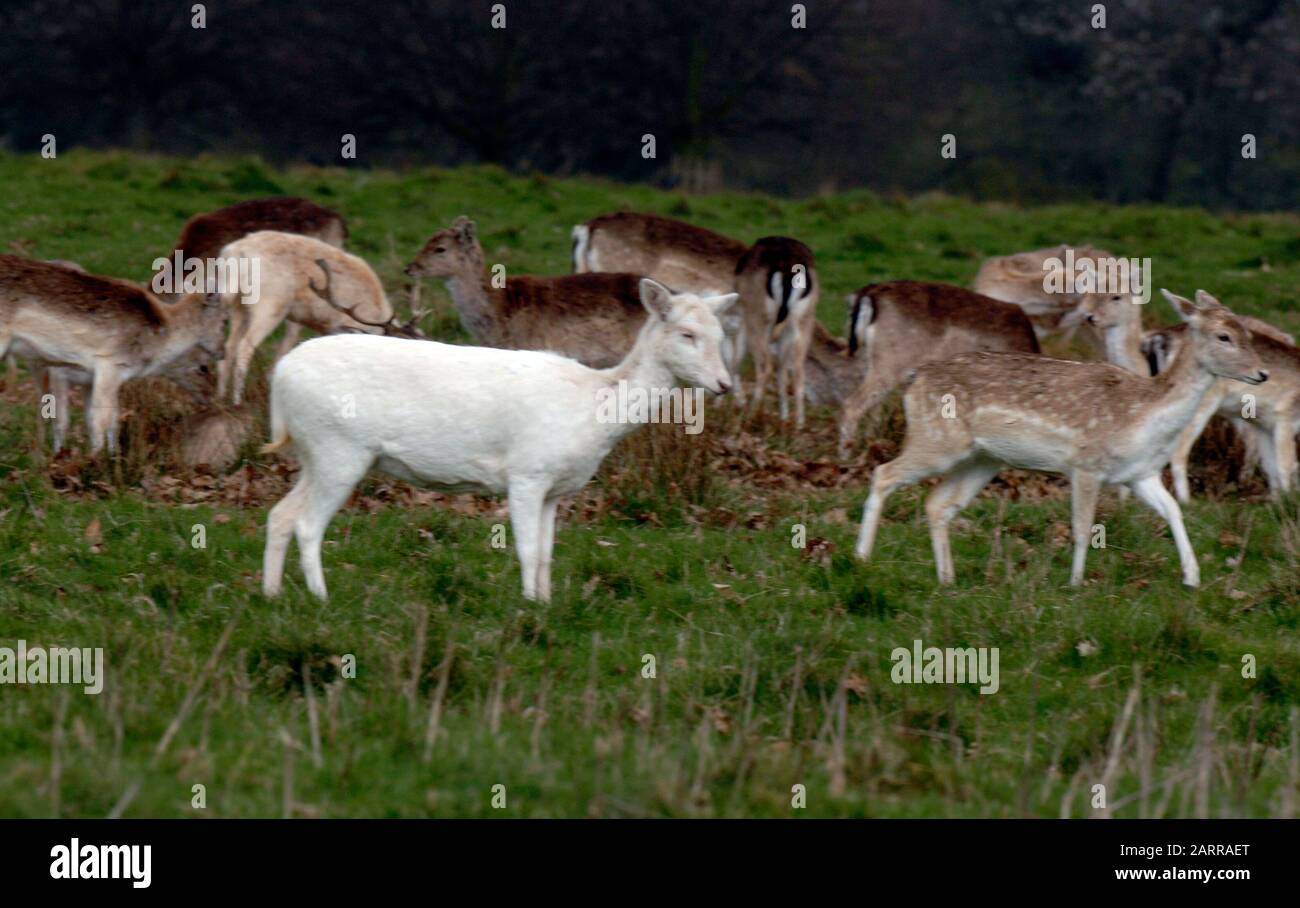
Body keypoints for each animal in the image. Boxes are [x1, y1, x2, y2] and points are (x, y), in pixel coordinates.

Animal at [258, 275, 738, 600]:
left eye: (720, 334)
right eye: (687, 334)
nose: (724, 384)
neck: (594, 409)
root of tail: (279, 378)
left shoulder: (554, 488)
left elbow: (546, 552)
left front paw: (545, 602)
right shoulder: (527, 471)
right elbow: (526, 548)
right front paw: (527, 607)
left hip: (315, 453)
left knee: (280, 515)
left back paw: (272, 593)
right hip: (340, 448)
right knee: (306, 524)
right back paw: (321, 597)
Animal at [738, 239, 816, 426]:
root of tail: (788, 270)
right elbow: (783, 372)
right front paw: (784, 417)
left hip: (758, 317)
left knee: (766, 367)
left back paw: (750, 416)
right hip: (804, 320)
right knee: (797, 370)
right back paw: (798, 424)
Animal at [837, 280, 1040, 455]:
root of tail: (868, 293)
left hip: (868, 358)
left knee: (874, 407)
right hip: (892, 360)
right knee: (853, 404)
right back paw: (846, 454)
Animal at [852, 290, 1268, 587]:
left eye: (1248, 333)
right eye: (1224, 336)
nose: (1262, 373)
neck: (1143, 416)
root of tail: (913, 380)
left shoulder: (1139, 474)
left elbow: (1173, 510)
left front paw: (1192, 577)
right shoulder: (1086, 464)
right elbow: (1083, 528)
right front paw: (1075, 584)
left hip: (982, 459)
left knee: (938, 504)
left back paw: (947, 579)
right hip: (937, 440)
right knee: (884, 473)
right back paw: (861, 557)